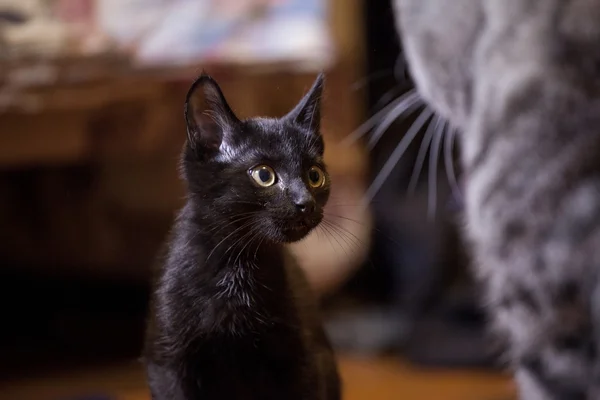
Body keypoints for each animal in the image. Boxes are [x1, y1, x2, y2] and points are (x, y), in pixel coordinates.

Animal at [142, 72, 340, 400]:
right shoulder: (166, 363)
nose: (305, 203)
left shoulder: (304, 364)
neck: (238, 267)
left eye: (314, 176)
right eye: (264, 175)